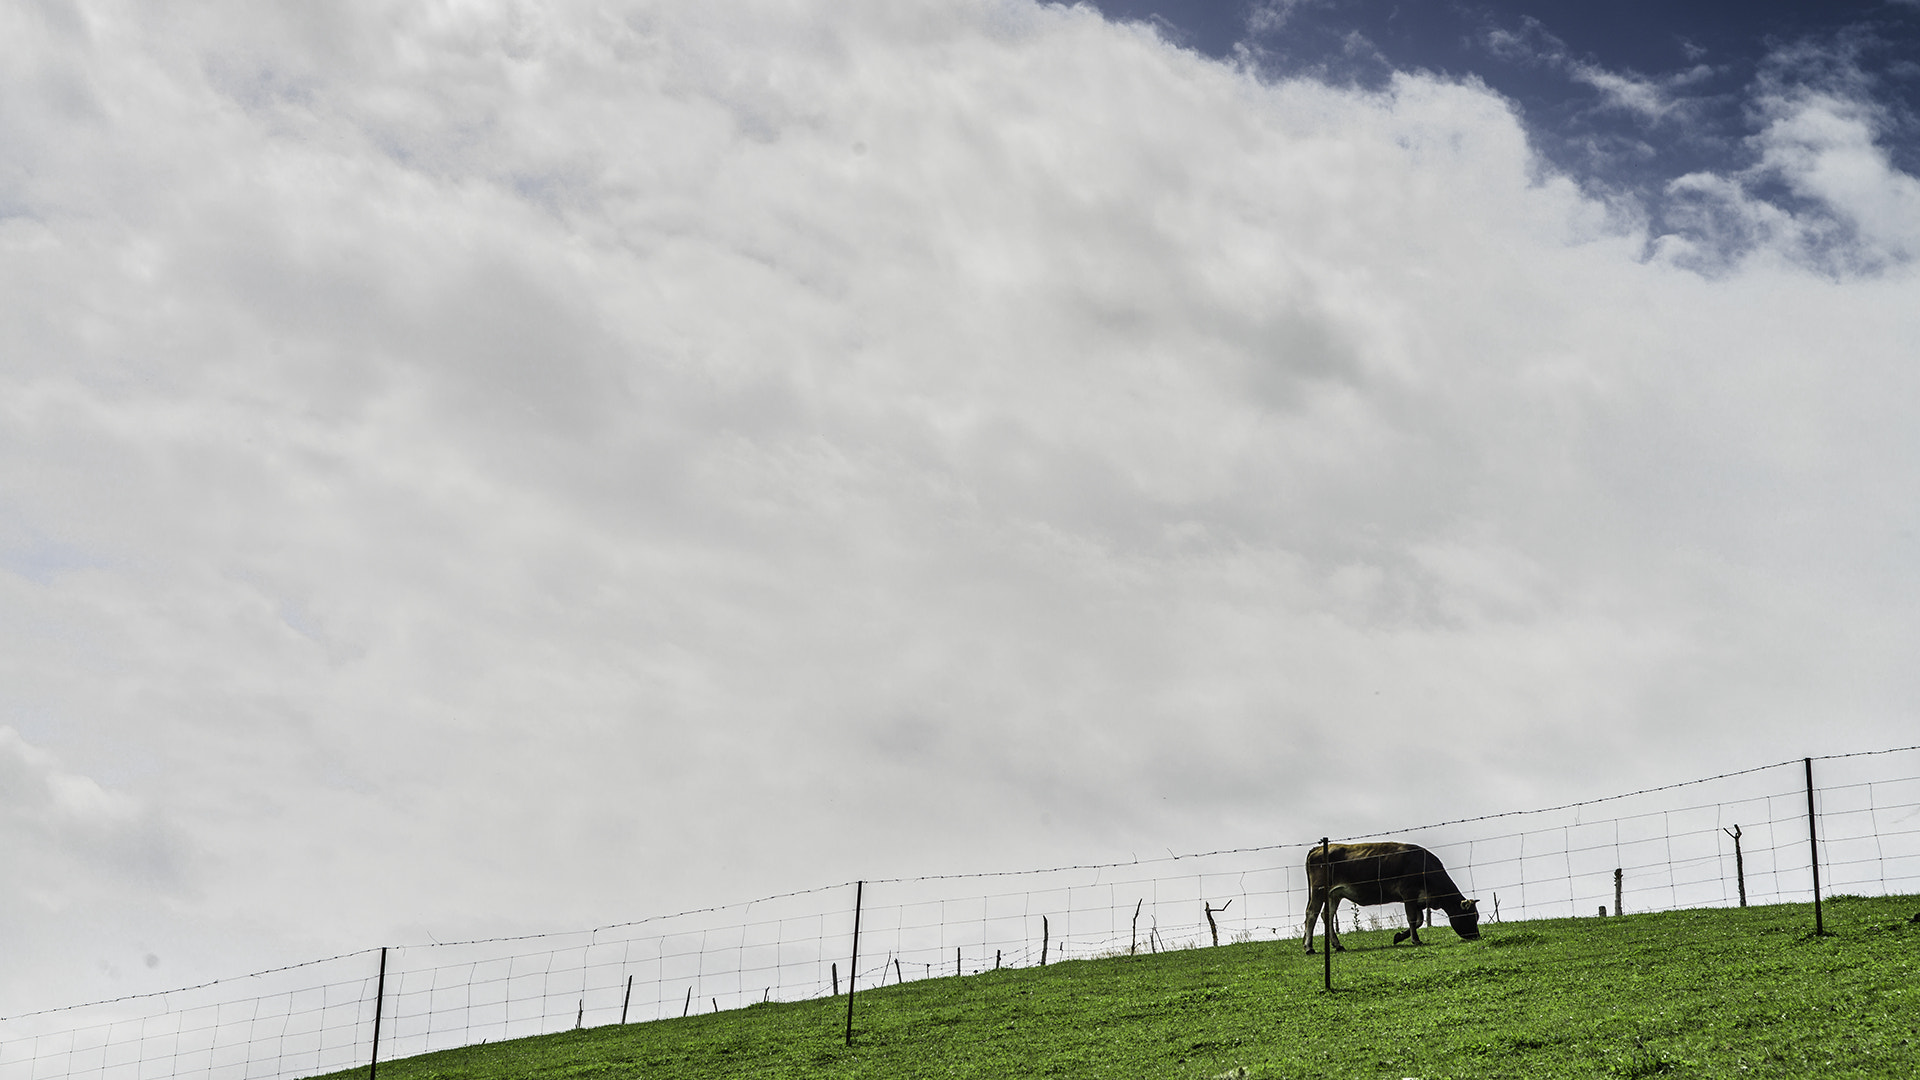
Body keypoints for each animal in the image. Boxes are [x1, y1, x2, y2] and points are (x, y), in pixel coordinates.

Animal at [1305, 837, 1482, 945]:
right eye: (1470, 915)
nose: (1477, 936)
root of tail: (1318, 848)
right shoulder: (1408, 894)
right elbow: (1412, 919)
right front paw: (1415, 940)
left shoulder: (1419, 900)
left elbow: (1419, 920)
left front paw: (1399, 936)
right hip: (1319, 890)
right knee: (1312, 913)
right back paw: (1309, 947)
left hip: (1334, 894)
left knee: (1326, 915)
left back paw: (1337, 944)